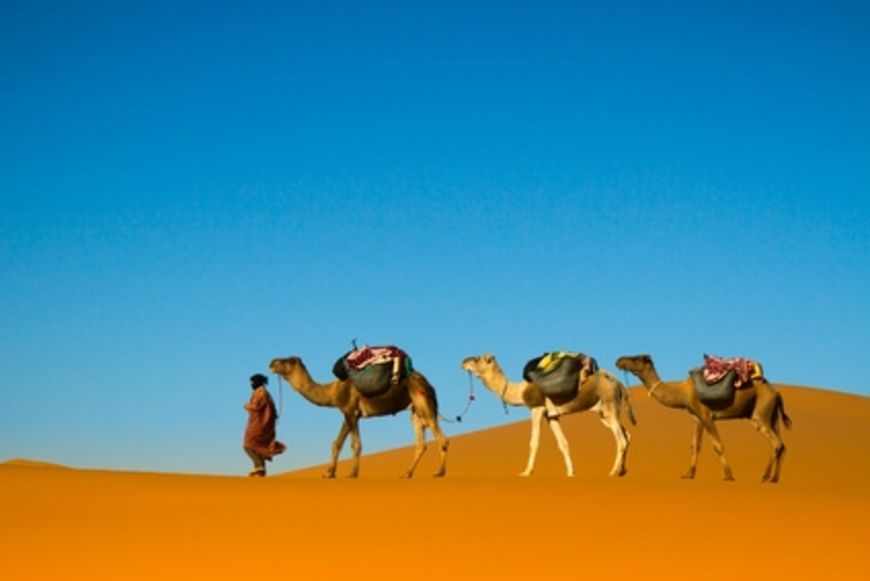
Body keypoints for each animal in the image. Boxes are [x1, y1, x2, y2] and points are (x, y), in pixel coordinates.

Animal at [269, 356, 448, 478]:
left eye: (287, 361)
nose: (271, 363)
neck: (332, 392)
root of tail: (429, 385)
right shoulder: (348, 414)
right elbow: (337, 444)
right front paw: (329, 473)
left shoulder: (351, 412)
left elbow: (355, 444)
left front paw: (352, 473)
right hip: (415, 411)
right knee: (421, 443)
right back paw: (407, 473)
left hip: (423, 403)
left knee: (442, 438)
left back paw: (439, 472)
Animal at [461, 354, 636, 477]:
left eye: (477, 359)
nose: (463, 362)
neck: (520, 390)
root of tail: (619, 383)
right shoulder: (551, 416)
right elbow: (563, 443)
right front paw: (570, 473)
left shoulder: (536, 408)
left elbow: (534, 442)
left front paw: (526, 472)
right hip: (605, 412)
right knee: (626, 434)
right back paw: (622, 471)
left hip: (608, 406)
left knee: (620, 439)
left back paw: (612, 472)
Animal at [615, 354, 792, 483]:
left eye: (635, 358)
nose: (619, 360)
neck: (683, 393)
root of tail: (776, 393)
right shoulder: (697, 417)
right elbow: (695, 446)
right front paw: (688, 474)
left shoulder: (706, 415)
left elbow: (718, 445)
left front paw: (728, 475)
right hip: (771, 416)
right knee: (780, 445)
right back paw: (771, 477)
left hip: (761, 414)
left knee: (776, 444)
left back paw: (769, 478)